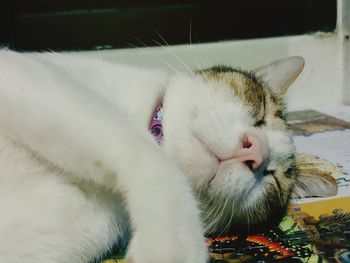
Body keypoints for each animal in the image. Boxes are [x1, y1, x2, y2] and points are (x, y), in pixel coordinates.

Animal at [0, 51, 330, 263]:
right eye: (260, 112)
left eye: (274, 179)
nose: (256, 151)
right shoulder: (30, 75)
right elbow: (146, 152)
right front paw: (173, 243)